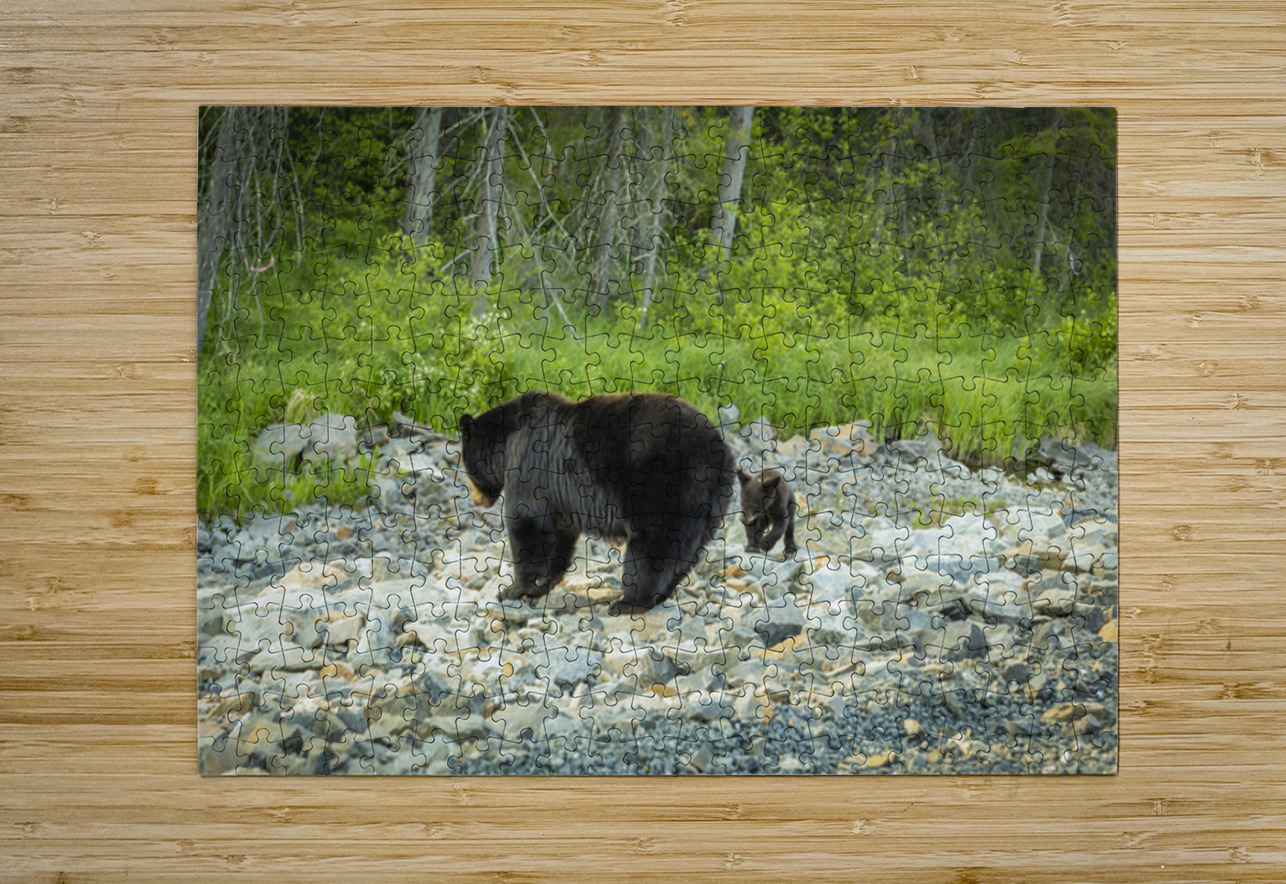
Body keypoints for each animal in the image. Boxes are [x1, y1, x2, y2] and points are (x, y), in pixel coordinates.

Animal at [458, 391, 734, 615]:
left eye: (468, 469)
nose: (477, 500)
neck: (507, 440)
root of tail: (717, 454)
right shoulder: (561, 499)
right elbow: (558, 536)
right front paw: (543, 584)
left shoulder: (528, 466)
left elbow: (527, 525)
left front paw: (513, 590)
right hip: (710, 507)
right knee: (686, 552)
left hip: (661, 487)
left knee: (653, 546)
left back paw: (630, 601)